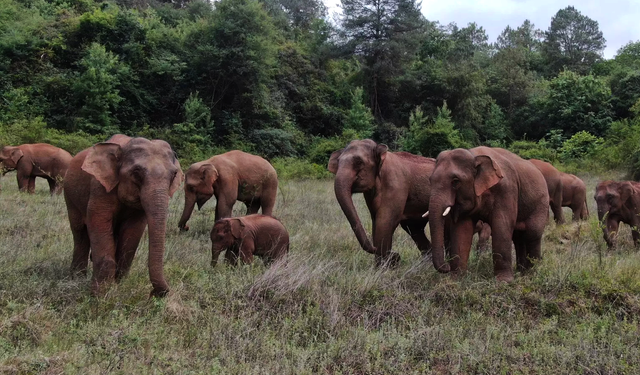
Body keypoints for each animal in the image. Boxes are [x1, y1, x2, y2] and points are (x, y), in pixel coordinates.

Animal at [64, 134, 182, 298]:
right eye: (137, 172)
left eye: (174, 174)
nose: (154, 293)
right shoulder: (100, 187)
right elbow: (98, 221)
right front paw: (100, 295)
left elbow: (133, 231)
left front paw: (119, 285)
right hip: (70, 197)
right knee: (79, 232)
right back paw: (76, 277)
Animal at [424, 148, 552, 282]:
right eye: (430, 180)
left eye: (455, 181)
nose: (446, 266)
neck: (474, 155)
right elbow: (462, 230)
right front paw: (456, 279)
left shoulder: (507, 190)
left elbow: (502, 227)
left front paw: (504, 281)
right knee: (518, 237)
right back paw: (521, 272)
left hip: (541, 203)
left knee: (532, 234)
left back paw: (531, 274)